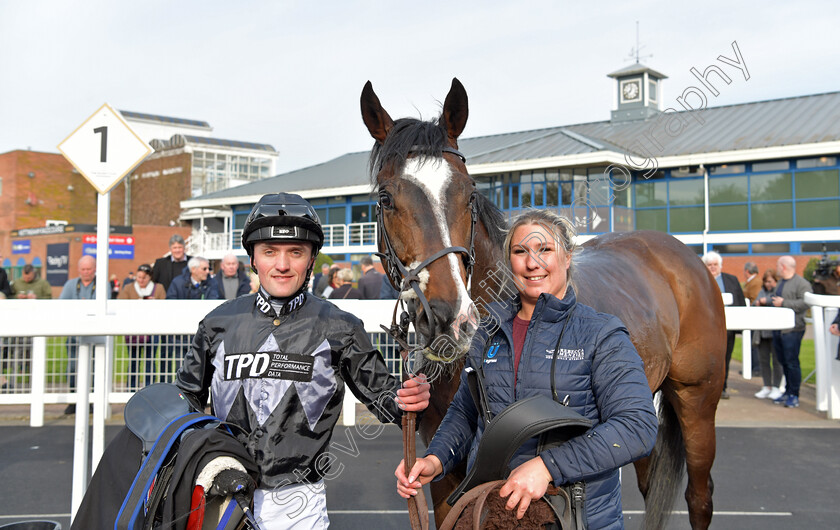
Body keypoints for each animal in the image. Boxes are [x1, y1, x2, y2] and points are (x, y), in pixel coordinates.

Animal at [360, 76, 728, 524]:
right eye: (385, 199)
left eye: (469, 194)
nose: (449, 319)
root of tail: (681, 256)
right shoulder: (447, 475)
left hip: (699, 398)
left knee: (700, 496)